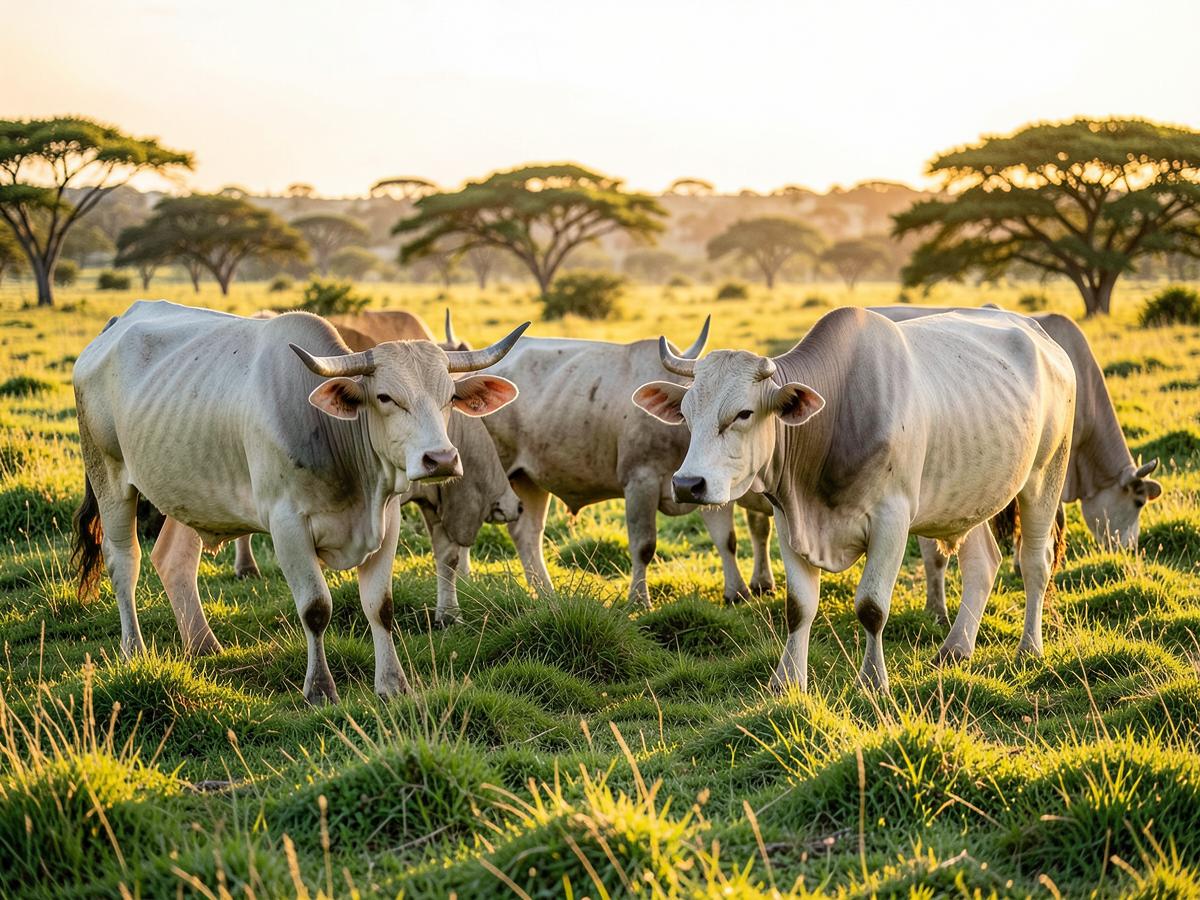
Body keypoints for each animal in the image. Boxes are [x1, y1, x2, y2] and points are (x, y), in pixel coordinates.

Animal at [230, 309, 521, 625]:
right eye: (385, 397)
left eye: (452, 396)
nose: (443, 458)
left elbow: (447, 556)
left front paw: (449, 614)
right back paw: (244, 570)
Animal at [464, 312, 775, 607]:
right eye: (689, 410)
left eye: (744, 413)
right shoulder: (640, 482)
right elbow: (644, 545)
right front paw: (638, 599)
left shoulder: (706, 487)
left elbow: (726, 540)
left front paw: (737, 592)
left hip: (527, 478)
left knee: (527, 533)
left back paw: (546, 593)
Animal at [633, 306, 1076, 692]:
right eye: (686, 414)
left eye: (743, 413)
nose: (688, 484)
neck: (837, 417)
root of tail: (1042, 337)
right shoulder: (789, 521)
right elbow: (798, 607)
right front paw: (787, 681)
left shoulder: (892, 522)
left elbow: (871, 607)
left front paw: (872, 681)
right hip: (969, 496)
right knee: (983, 564)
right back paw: (955, 649)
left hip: (1045, 476)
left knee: (1035, 563)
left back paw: (1029, 648)